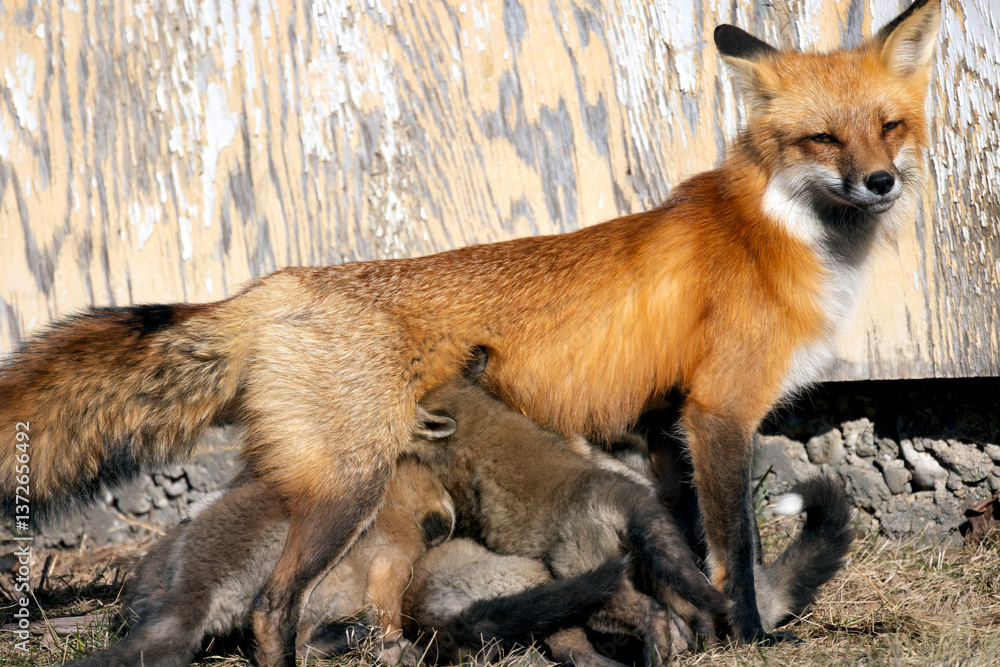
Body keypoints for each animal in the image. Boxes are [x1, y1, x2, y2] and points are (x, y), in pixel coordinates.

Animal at [65, 457, 456, 667]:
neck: (394, 509)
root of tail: (196, 584)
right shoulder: (394, 563)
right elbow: (390, 613)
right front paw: (397, 649)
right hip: (305, 588)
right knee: (298, 641)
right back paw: (346, 636)